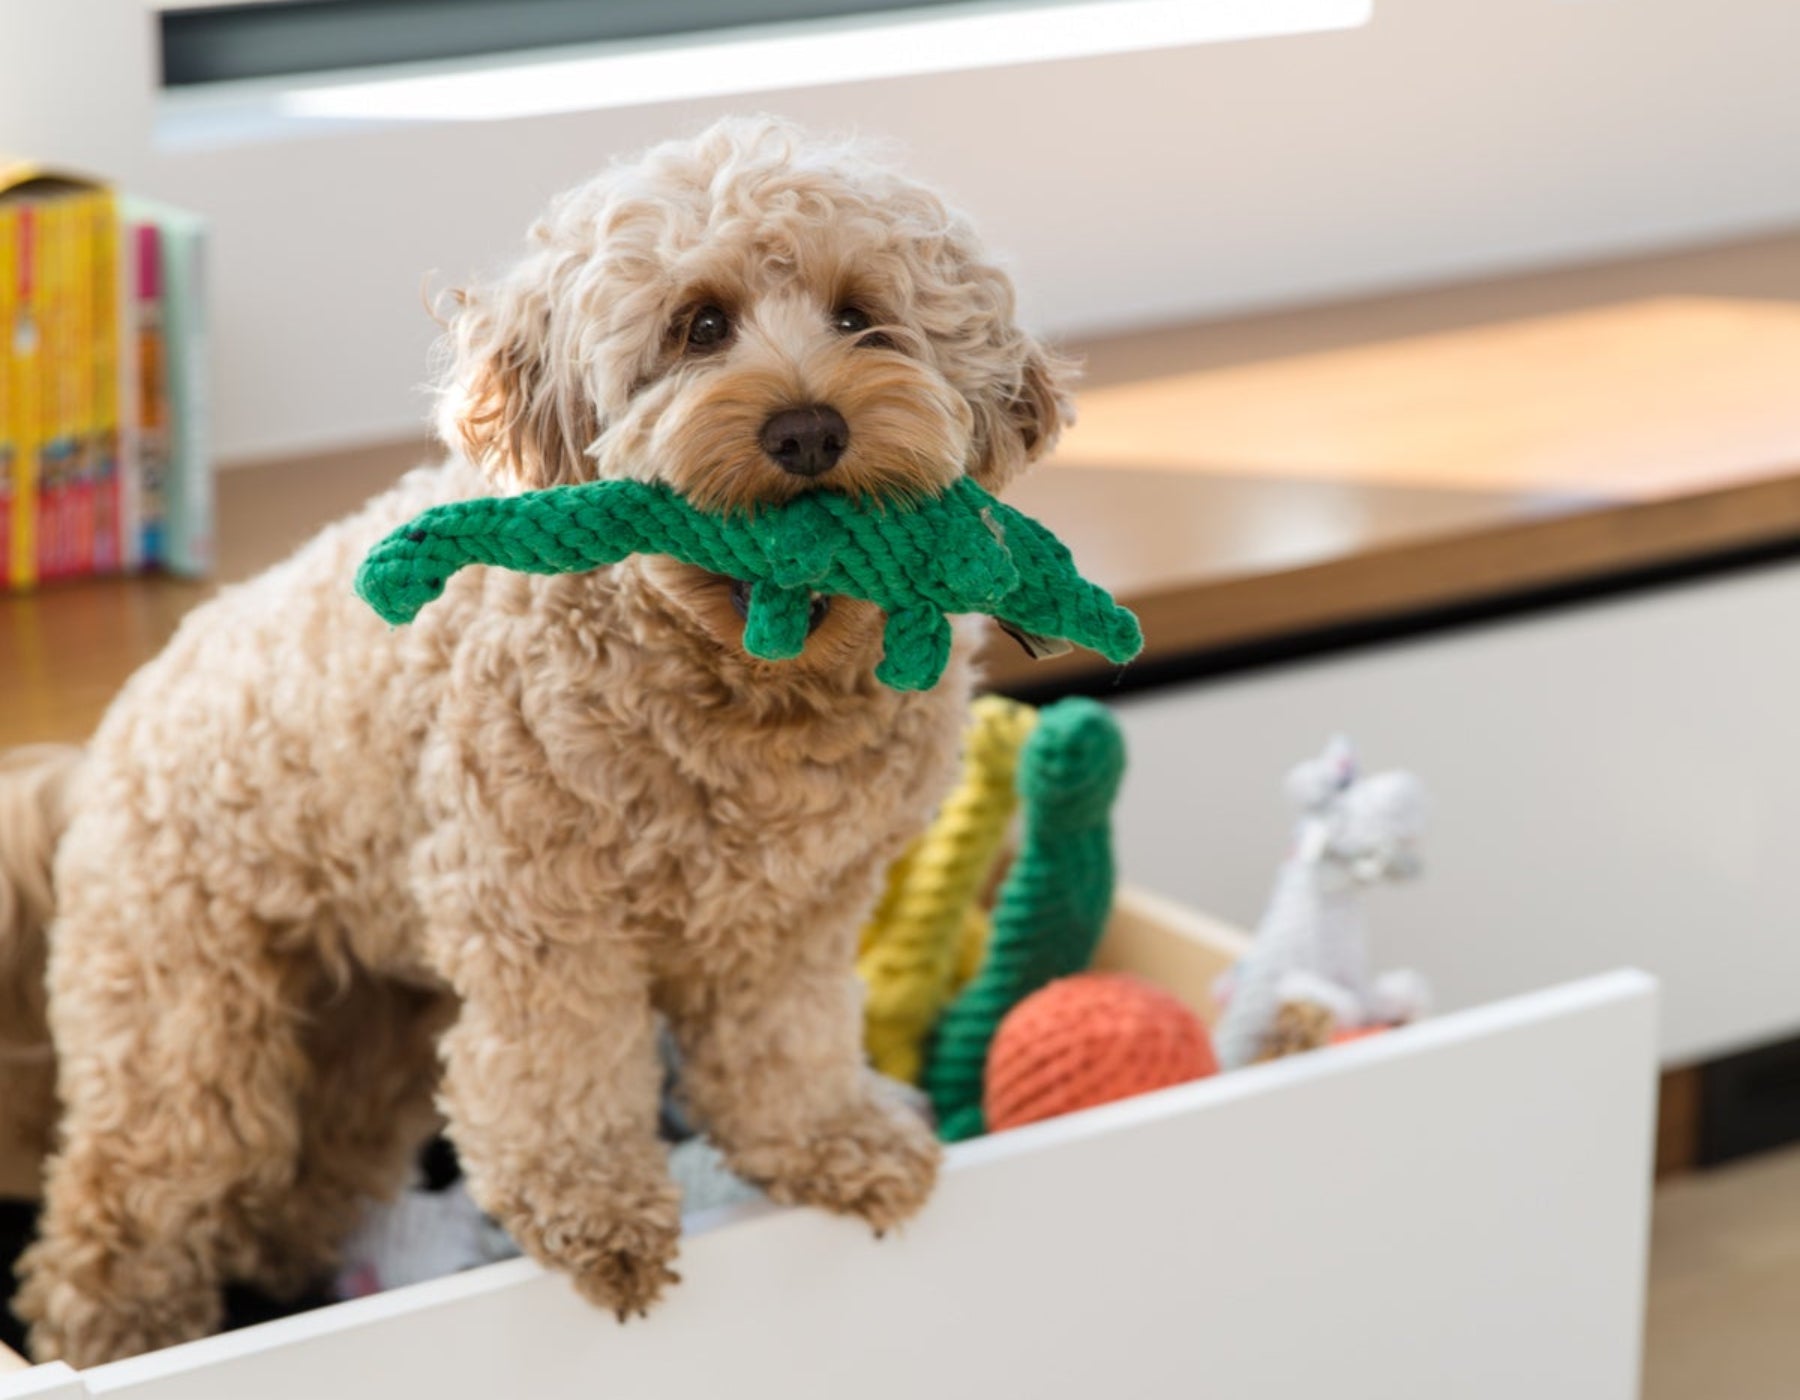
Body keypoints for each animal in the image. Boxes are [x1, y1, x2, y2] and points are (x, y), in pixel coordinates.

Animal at [0, 116, 1073, 1365]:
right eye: (700, 324)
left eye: (861, 316)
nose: (808, 427)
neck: (739, 683)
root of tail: (99, 748)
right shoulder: (544, 916)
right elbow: (566, 1069)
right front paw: (598, 1211)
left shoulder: (797, 918)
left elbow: (786, 1044)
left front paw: (831, 1141)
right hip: (183, 1012)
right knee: (131, 1191)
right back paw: (120, 1334)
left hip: (368, 1031)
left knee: (303, 1181)